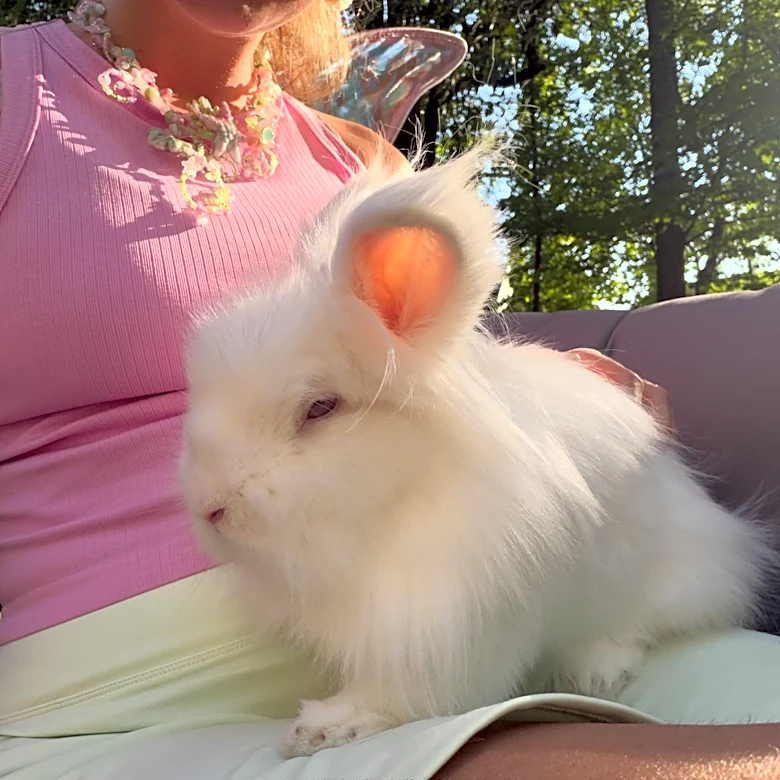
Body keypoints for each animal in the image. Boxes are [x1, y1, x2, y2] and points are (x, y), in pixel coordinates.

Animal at [180, 142, 770, 759]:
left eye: (320, 408)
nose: (209, 508)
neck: (388, 518)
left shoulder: (451, 623)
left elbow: (404, 692)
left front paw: (325, 726)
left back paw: (594, 669)